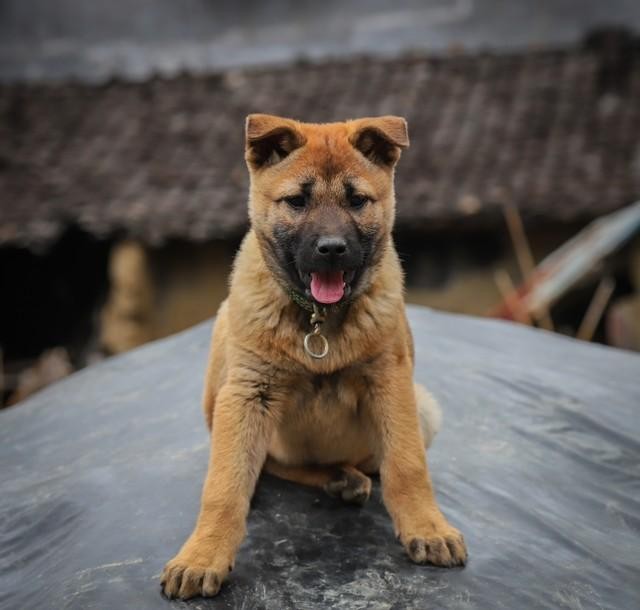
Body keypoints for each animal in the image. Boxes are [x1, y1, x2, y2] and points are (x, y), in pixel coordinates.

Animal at [160, 114, 468, 600]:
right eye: (297, 201)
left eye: (357, 200)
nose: (332, 248)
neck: (318, 321)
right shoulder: (247, 393)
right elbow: (224, 489)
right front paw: (203, 555)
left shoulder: (391, 381)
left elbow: (407, 465)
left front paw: (427, 528)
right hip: (221, 363)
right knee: (275, 464)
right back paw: (331, 479)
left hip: (423, 406)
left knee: (368, 465)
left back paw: (349, 477)